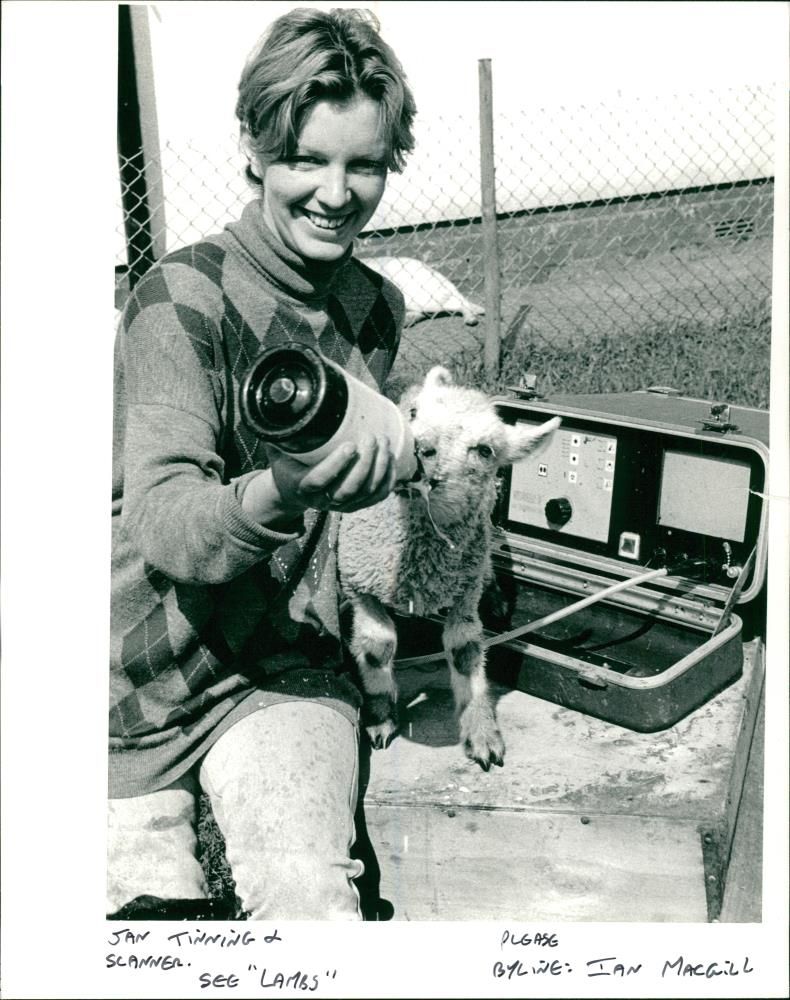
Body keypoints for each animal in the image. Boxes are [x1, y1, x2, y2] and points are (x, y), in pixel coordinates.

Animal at [338, 366, 560, 764]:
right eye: (413, 413)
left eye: (484, 450)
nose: (416, 448)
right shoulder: (360, 584)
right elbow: (378, 645)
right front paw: (380, 716)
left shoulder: (463, 596)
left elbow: (465, 652)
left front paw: (481, 732)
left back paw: (496, 596)